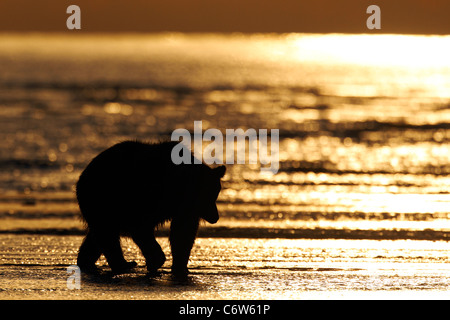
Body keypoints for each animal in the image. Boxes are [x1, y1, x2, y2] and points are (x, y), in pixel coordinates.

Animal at [77, 141, 227, 278]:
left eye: (215, 195)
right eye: (209, 196)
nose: (215, 217)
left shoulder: (184, 210)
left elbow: (182, 233)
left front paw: (179, 267)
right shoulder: (146, 197)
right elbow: (140, 227)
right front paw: (156, 260)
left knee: (99, 234)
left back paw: (87, 261)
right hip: (103, 198)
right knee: (107, 233)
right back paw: (123, 264)